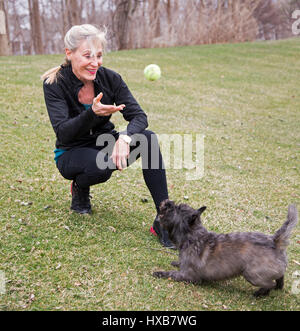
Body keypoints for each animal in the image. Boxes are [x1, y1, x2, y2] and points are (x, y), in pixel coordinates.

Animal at [154, 200, 298, 298]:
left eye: (175, 209)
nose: (166, 202)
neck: (193, 237)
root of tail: (275, 241)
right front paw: (176, 262)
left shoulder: (188, 276)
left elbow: (171, 274)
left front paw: (160, 273)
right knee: (280, 276)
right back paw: (279, 287)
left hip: (251, 274)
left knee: (270, 284)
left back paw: (261, 293)